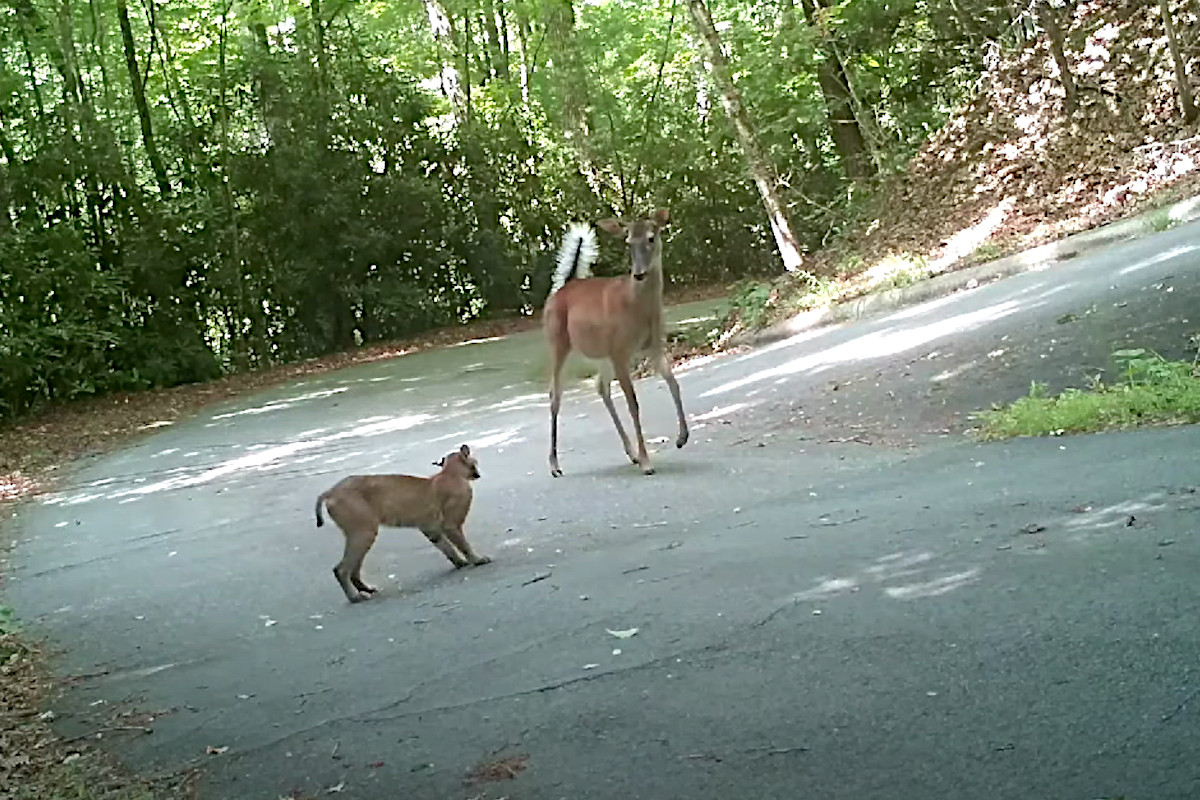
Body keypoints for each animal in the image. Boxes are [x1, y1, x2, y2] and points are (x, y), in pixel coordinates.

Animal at [540, 209, 691, 479]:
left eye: (651, 237)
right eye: (628, 242)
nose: (638, 273)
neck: (638, 308)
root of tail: (563, 286)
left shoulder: (653, 345)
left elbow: (673, 383)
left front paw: (681, 438)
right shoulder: (621, 351)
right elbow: (633, 403)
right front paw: (647, 462)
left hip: (603, 353)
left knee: (601, 387)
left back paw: (630, 453)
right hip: (558, 342)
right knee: (554, 394)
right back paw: (555, 465)